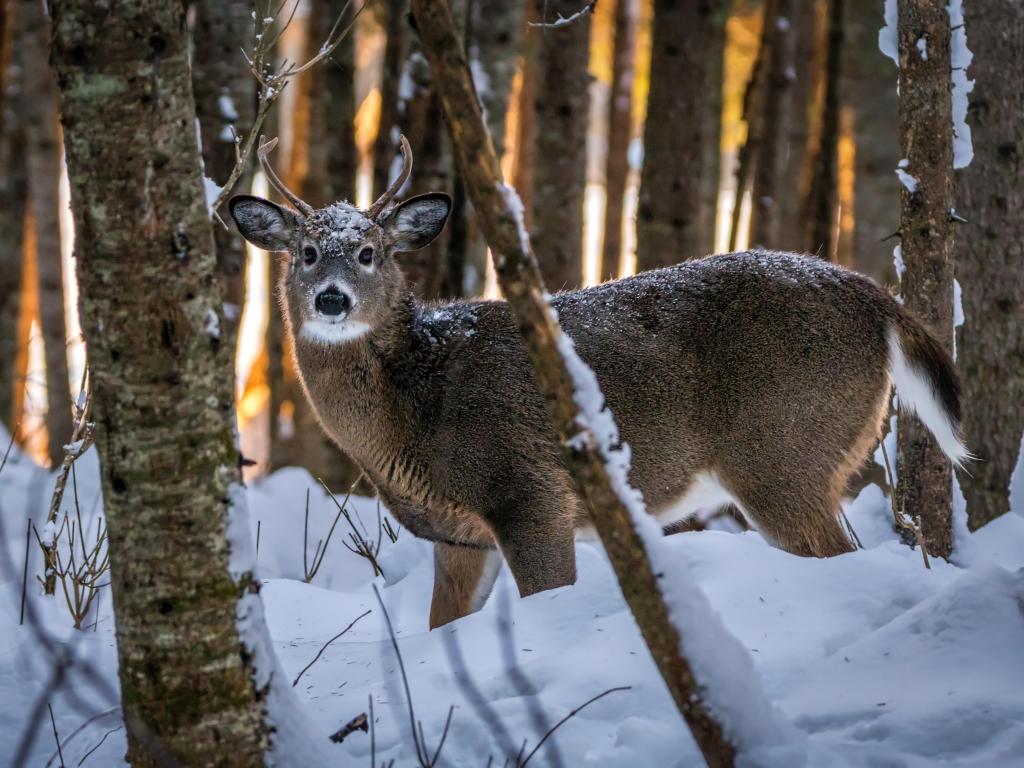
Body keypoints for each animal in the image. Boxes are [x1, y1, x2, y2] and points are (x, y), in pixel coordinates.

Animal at [232, 137, 966, 630]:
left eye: (368, 252)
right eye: (305, 253)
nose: (331, 299)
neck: (413, 412)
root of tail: (879, 302)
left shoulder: (530, 491)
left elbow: (545, 598)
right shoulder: (458, 535)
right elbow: (442, 626)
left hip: (786, 450)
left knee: (843, 552)